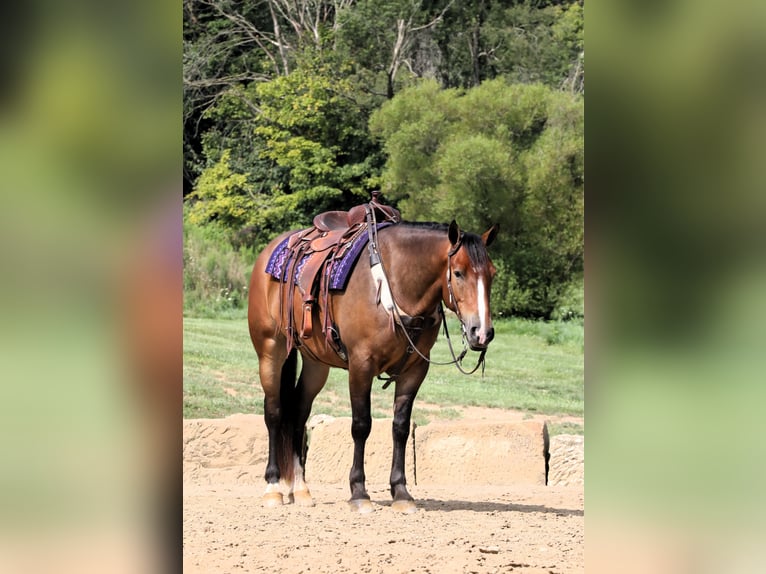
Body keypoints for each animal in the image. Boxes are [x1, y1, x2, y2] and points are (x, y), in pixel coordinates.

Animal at [246, 209, 498, 516]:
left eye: (492, 274)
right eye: (459, 272)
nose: (482, 332)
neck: (395, 284)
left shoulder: (415, 370)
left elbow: (400, 427)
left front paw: (401, 492)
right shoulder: (361, 366)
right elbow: (361, 425)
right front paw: (358, 492)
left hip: (316, 364)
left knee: (298, 413)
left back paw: (301, 489)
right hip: (270, 350)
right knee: (274, 412)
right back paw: (273, 487)